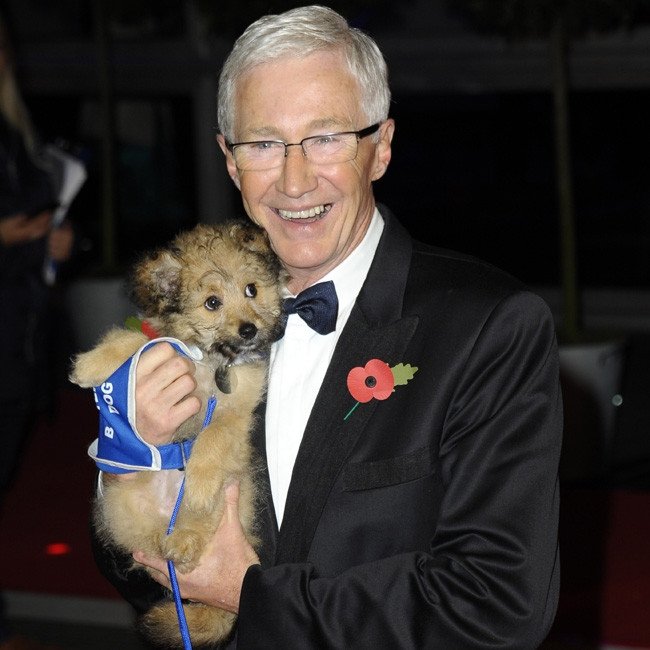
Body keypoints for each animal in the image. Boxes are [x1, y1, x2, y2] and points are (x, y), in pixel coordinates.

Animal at [68, 220, 286, 644]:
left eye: (252, 289)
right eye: (212, 303)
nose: (248, 329)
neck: (211, 361)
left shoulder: (237, 412)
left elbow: (214, 437)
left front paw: (198, 482)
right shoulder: (168, 346)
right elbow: (137, 340)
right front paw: (90, 364)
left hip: (233, 497)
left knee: (197, 526)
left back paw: (184, 539)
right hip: (121, 506)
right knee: (148, 543)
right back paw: (169, 542)